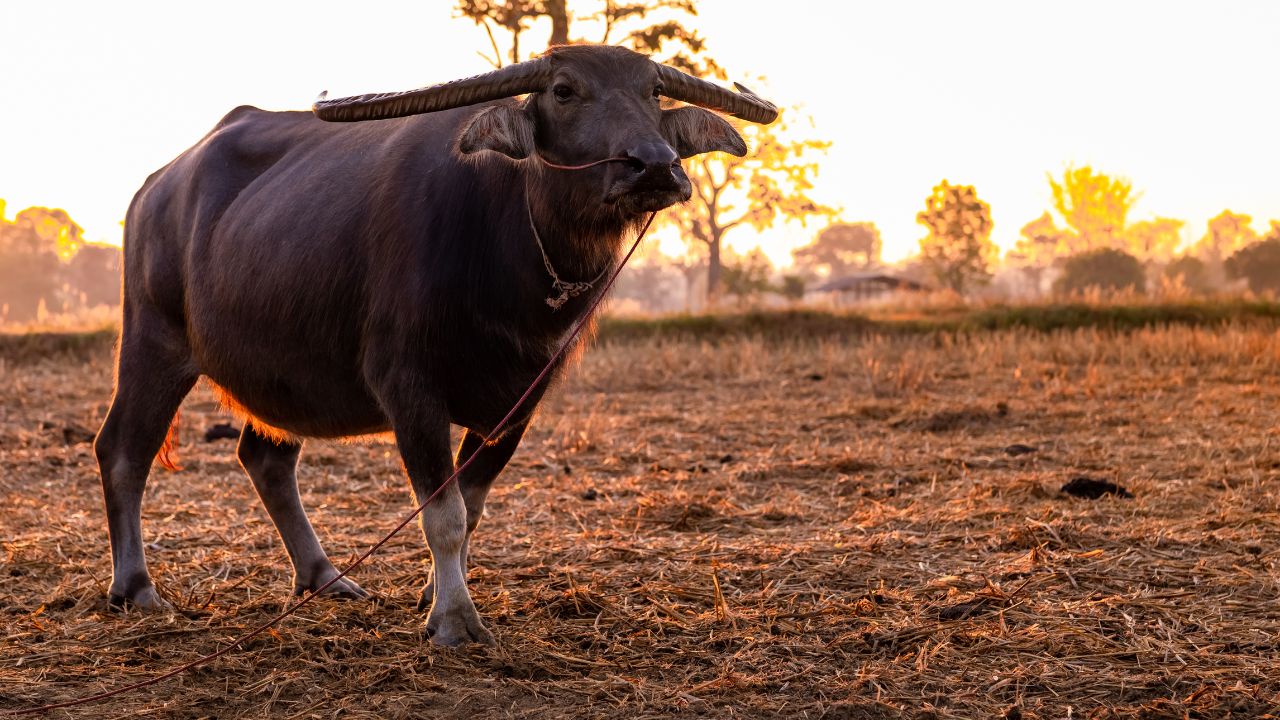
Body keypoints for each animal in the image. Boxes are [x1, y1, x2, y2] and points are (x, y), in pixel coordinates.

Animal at [95, 44, 776, 645]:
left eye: (652, 91)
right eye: (564, 90)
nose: (655, 165)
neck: (506, 252)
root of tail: (156, 187)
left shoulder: (519, 403)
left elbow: (470, 508)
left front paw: (435, 592)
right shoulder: (409, 390)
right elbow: (443, 515)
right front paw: (453, 620)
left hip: (278, 369)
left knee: (265, 459)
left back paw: (324, 577)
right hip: (152, 340)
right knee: (123, 450)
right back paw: (136, 587)